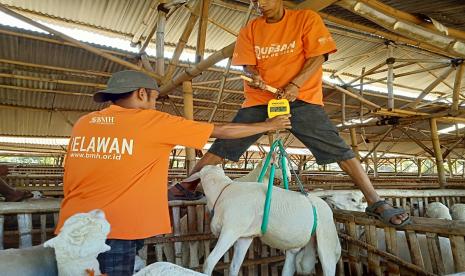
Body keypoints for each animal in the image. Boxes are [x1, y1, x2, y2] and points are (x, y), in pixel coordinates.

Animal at [186, 165, 340, 274]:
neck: (222, 191)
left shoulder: (231, 230)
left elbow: (209, 262)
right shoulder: (245, 237)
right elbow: (234, 266)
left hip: (327, 242)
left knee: (329, 264)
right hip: (296, 246)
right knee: (289, 267)